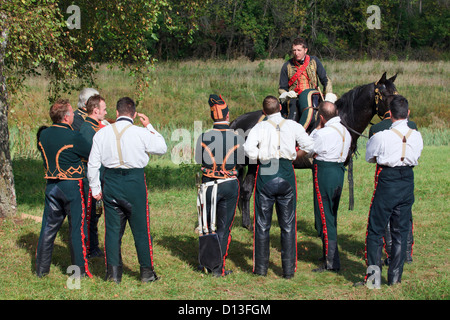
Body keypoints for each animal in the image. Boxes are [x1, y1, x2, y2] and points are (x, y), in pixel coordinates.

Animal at [230, 72, 400, 230]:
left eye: (396, 93)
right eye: (385, 95)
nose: (395, 116)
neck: (341, 122)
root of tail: (237, 121)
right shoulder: (317, 167)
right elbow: (320, 197)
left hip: (254, 164)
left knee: (245, 190)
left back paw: (248, 224)